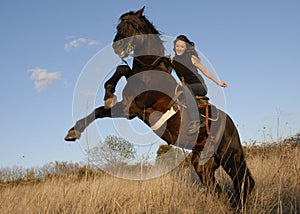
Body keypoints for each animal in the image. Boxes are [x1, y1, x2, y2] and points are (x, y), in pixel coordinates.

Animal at [64, 7, 254, 209]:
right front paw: (74, 131)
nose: (117, 46)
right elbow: (102, 107)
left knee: (242, 182)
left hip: (230, 156)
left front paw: (108, 95)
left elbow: (121, 73)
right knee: (217, 188)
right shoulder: (129, 108)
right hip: (203, 161)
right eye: (118, 26)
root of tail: (231, 125)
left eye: (132, 25)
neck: (150, 72)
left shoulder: (134, 106)